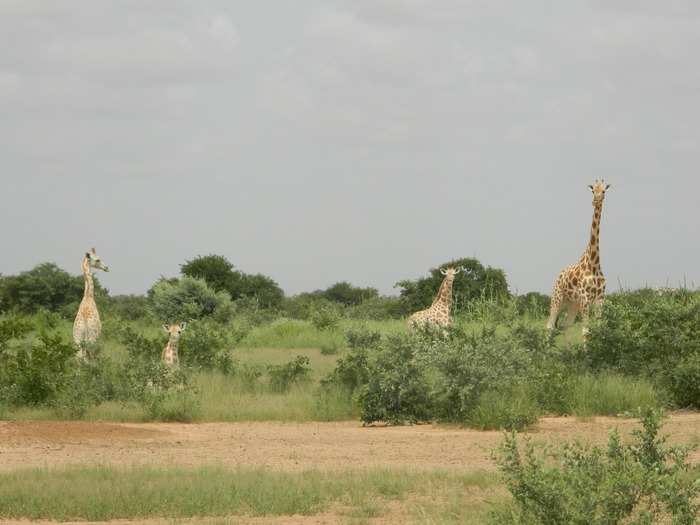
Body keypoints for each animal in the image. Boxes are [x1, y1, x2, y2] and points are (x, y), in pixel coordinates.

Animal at [548, 179, 612, 336]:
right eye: (593, 190)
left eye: (604, 191)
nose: (595, 201)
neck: (594, 264)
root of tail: (559, 275)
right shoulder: (585, 299)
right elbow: (585, 331)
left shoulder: (600, 300)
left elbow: (599, 329)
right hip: (557, 298)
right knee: (550, 325)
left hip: (572, 303)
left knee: (567, 325)